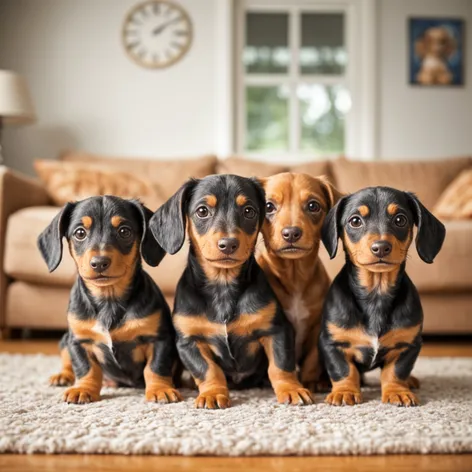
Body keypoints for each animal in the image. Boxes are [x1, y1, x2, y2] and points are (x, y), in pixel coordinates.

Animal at [36, 195, 181, 402]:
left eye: (124, 231)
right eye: (80, 233)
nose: (99, 263)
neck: (108, 300)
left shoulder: (159, 339)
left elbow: (156, 367)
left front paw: (161, 389)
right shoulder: (78, 341)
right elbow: (86, 368)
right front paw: (83, 389)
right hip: (66, 339)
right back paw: (62, 376)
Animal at [150, 175, 314, 408]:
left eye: (249, 211)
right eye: (202, 211)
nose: (228, 244)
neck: (223, 286)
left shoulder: (277, 331)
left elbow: (281, 366)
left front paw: (292, 389)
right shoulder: (189, 342)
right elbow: (208, 370)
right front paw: (212, 393)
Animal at [256, 173, 342, 390]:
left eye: (313, 206)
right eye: (268, 206)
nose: (291, 233)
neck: (295, 278)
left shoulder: (316, 327)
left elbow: (312, 359)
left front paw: (310, 382)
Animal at [318, 186, 444, 408]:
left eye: (400, 219)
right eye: (355, 221)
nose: (381, 247)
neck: (376, 294)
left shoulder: (409, 345)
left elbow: (396, 371)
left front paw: (398, 391)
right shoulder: (332, 343)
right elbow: (343, 370)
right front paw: (344, 392)